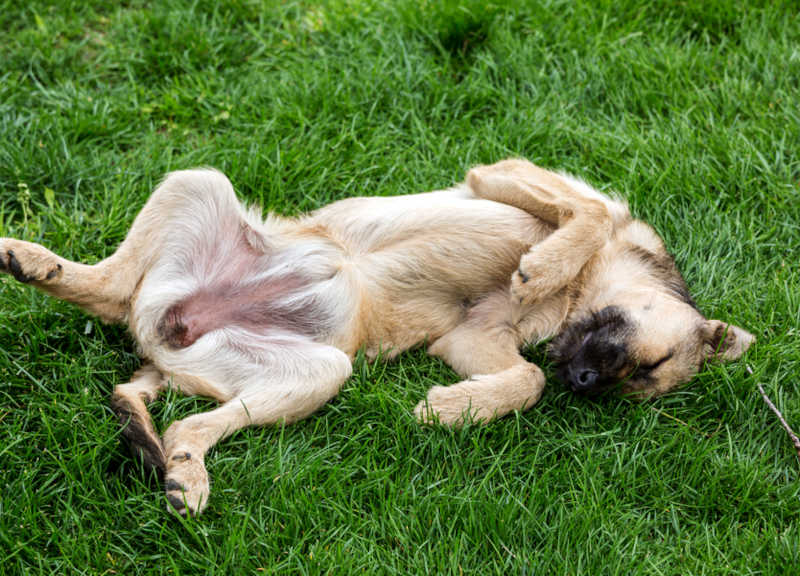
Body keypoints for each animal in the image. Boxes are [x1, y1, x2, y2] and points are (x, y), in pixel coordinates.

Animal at [0, 160, 752, 516]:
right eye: (648, 360)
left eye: (636, 383)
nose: (588, 382)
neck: (586, 291)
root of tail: (163, 336)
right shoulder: (509, 175)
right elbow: (588, 213)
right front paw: (545, 264)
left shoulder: (474, 341)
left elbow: (528, 377)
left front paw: (456, 409)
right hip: (197, 183)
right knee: (107, 288)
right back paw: (35, 261)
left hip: (315, 371)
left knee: (180, 418)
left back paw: (181, 465)